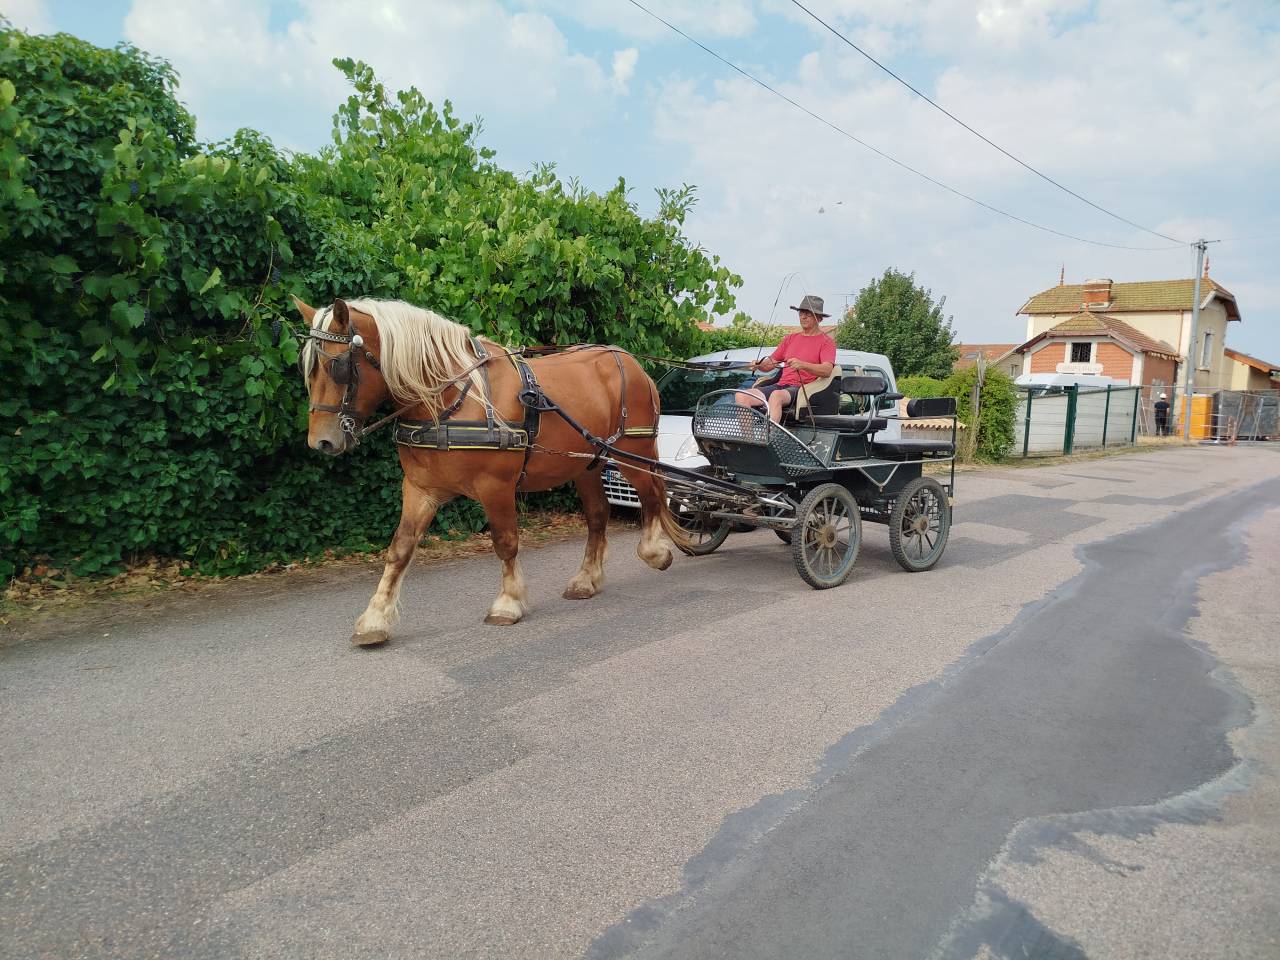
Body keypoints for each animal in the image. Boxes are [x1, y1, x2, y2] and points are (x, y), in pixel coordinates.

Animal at [294, 297, 694, 646]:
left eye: (338, 366)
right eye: (307, 368)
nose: (320, 443)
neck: (451, 399)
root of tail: (629, 361)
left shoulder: (495, 486)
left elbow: (505, 542)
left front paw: (509, 603)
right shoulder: (420, 489)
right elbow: (400, 548)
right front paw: (375, 619)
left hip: (633, 453)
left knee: (653, 495)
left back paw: (654, 552)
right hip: (586, 464)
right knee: (598, 514)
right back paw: (587, 579)